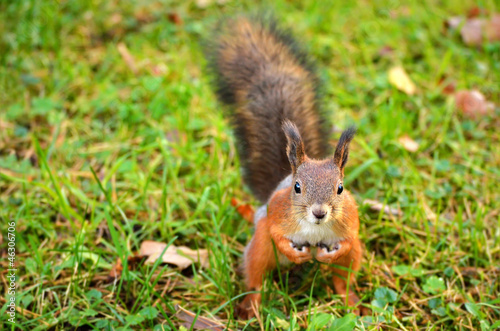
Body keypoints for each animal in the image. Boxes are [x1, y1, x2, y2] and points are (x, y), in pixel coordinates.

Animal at [206, 16, 364, 322]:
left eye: (340, 188)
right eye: (297, 187)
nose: (319, 213)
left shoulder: (350, 220)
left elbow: (350, 239)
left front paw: (326, 255)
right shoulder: (276, 213)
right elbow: (277, 234)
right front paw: (295, 254)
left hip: (352, 261)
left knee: (343, 276)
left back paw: (349, 301)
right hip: (258, 246)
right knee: (256, 274)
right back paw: (253, 305)